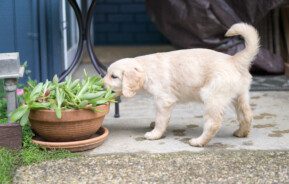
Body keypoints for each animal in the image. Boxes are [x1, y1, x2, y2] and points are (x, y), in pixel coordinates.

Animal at [103, 23, 258, 147]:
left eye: (114, 76)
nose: (102, 86)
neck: (147, 69)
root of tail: (234, 60)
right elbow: (163, 118)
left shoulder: (164, 100)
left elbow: (160, 119)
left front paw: (155, 133)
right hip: (240, 96)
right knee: (247, 115)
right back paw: (241, 133)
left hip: (212, 96)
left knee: (213, 123)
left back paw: (198, 142)